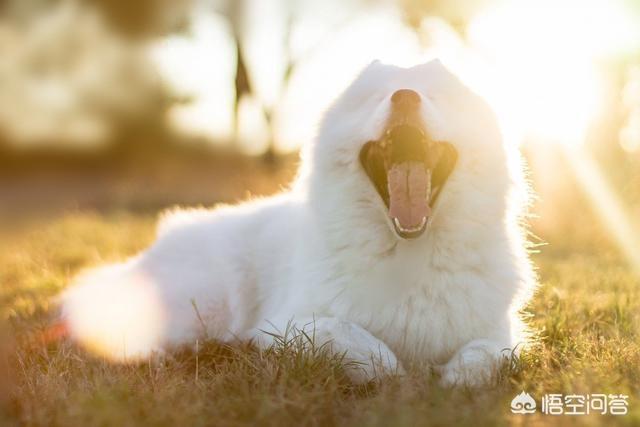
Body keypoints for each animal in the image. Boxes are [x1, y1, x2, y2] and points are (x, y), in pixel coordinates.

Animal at [63, 59, 536, 388]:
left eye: (438, 97)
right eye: (374, 98)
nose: (405, 96)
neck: (408, 253)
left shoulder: (500, 330)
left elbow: (494, 352)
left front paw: (459, 375)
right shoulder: (286, 325)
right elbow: (351, 336)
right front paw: (392, 371)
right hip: (201, 303)